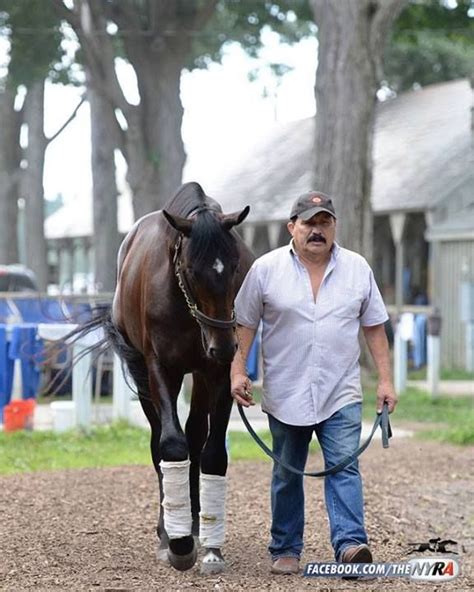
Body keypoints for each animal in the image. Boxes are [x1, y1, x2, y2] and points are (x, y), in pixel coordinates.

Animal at [89, 182, 254, 572]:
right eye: (192, 270)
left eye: (235, 266)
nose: (224, 345)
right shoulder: (160, 368)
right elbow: (171, 444)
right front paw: (176, 542)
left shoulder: (218, 373)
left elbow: (212, 453)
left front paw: (208, 542)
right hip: (145, 374)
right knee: (159, 441)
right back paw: (170, 528)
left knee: (195, 435)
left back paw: (194, 521)